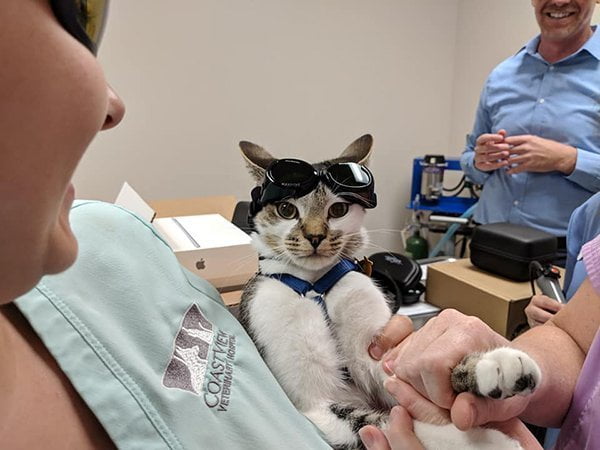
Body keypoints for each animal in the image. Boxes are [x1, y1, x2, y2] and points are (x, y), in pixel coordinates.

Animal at [237, 134, 540, 450]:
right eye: (286, 210)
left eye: (338, 210)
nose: (315, 236)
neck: (316, 286)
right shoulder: (313, 404)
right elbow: (379, 422)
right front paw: (484, 442)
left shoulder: (373, 347)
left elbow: (404, 368)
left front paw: (491, 365)